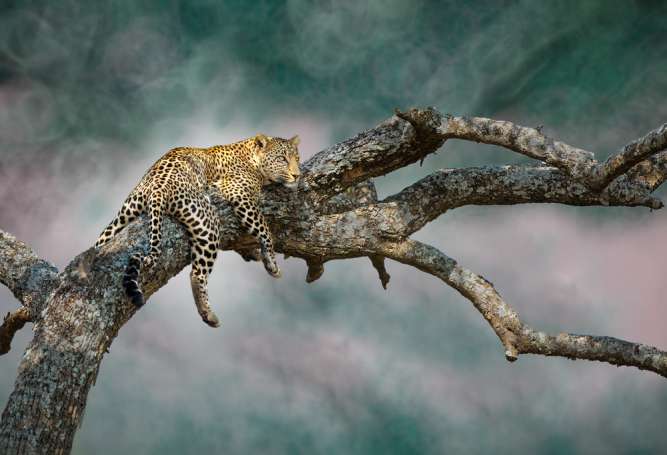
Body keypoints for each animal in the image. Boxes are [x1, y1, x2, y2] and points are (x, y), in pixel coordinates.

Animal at [94, 134, 301, 328]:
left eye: (297, 158)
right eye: (282, 158)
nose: (297, 175)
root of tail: (158, 188)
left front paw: (256, 253)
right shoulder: (239, 193)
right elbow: (264, 228)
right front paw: (271, 262)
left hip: (123, 216)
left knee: (100, 243)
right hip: (208, 221)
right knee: (197, 273)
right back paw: (208, 313)